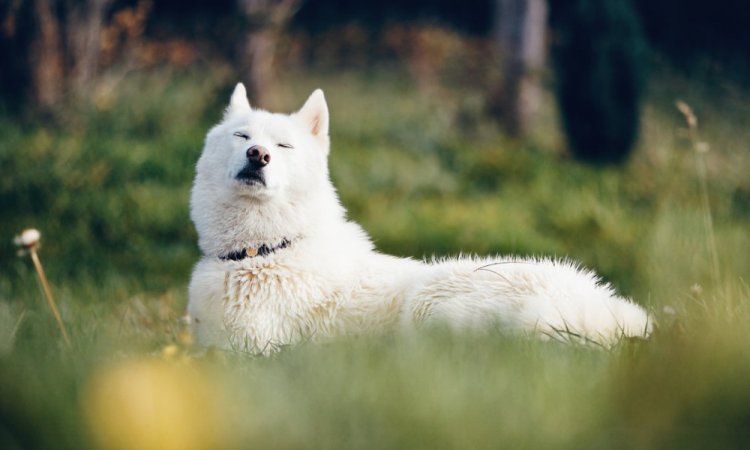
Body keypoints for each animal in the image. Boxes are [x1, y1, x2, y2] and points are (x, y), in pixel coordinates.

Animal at [188, 82, 652, 354]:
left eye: (283, 146)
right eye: (242, 136)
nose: (258, 155)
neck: (264, 251)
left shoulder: (251, 350)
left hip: (432, 300)